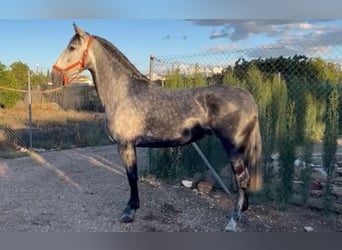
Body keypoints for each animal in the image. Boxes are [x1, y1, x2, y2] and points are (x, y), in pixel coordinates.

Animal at [50, 23, 264, 232]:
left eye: (72, 47)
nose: (54, 76)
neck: (123, 93)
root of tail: (248, 97)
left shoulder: (126, 145)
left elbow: (132, 177)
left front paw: (129, 212)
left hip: (233, 147)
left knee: (242, 179)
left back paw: (233, 221)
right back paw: (242, 209)